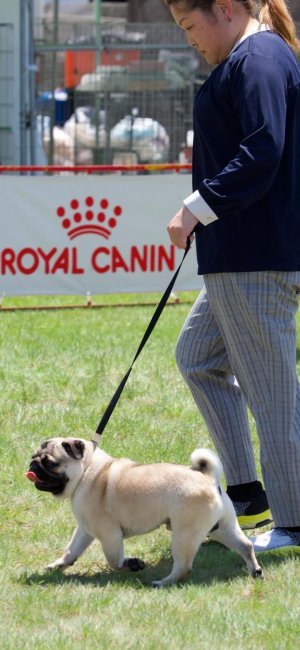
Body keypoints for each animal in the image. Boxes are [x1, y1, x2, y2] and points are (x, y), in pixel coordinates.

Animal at [25, 438, 262, 584]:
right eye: (34, 457)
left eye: (50, 463)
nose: (32, 466)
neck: (88, 470)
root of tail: (207, 476)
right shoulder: (85, 529)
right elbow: (71, 550)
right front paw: (58, 565)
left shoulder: (109, 535)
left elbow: (114, 561)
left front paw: (133, 565)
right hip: (222, 527)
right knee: (245, 545)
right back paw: (255, 571)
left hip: (184, 535)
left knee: (183, 567)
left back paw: (163, 583)